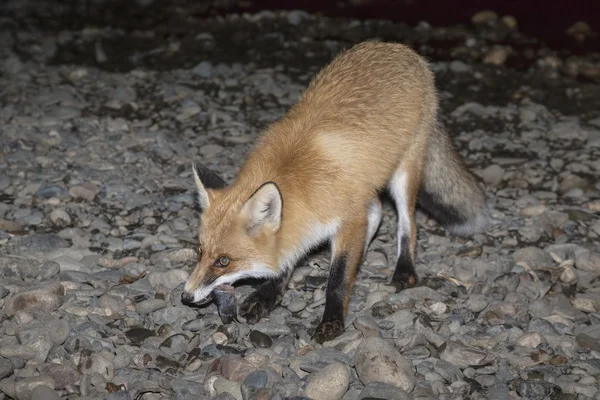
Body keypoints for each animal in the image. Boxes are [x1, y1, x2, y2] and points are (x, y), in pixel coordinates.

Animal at [182, 41, 488, 344]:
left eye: (223, 261)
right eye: (200, 251)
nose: (185, 297)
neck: (302, 181)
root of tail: (399, 47)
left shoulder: (349, 219)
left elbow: (338, 279)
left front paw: (331, 321)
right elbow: (289, 258)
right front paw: (268, 295)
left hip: (404, 173)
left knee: (407, 222)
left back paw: (404, 269)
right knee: (377, 210)